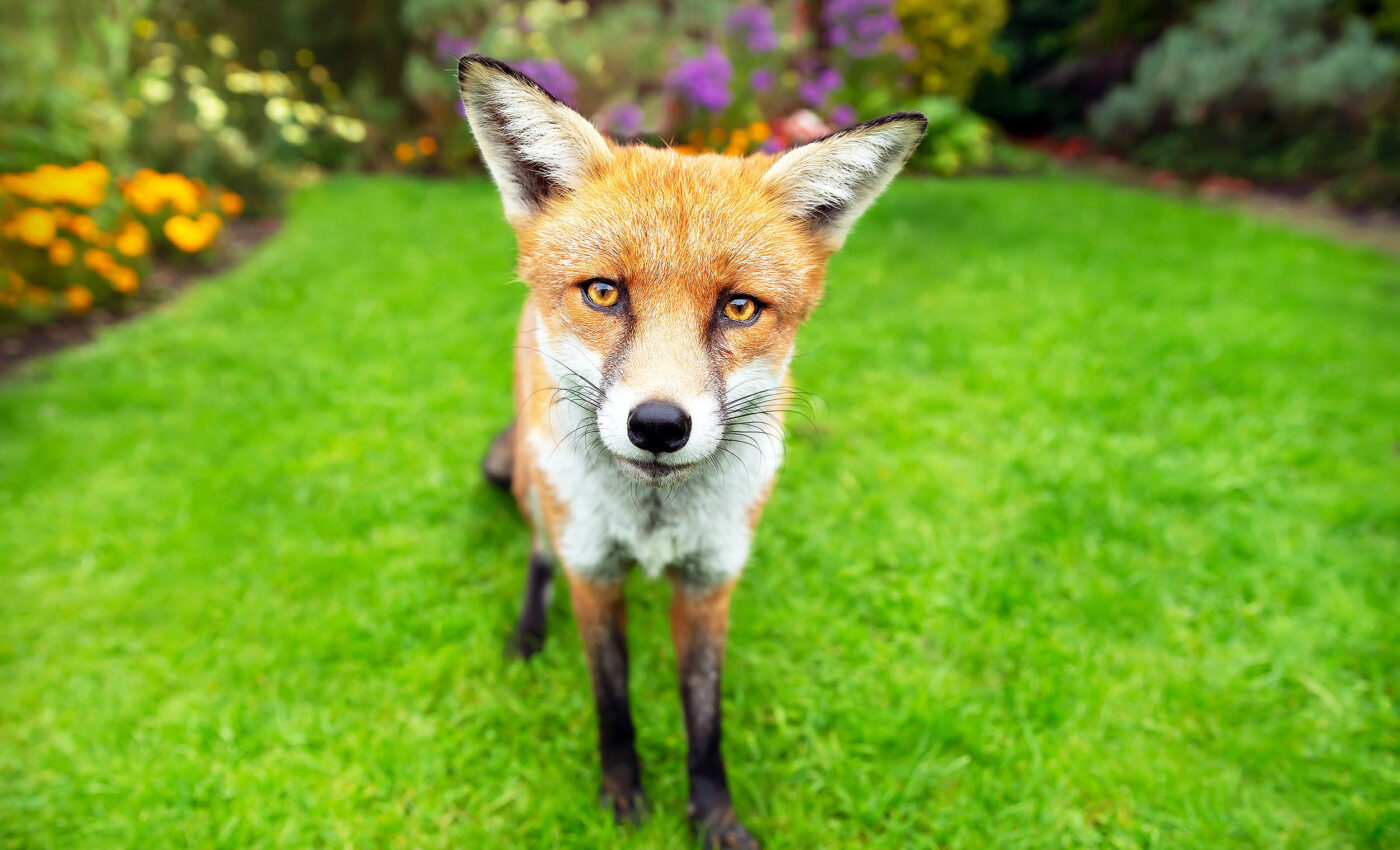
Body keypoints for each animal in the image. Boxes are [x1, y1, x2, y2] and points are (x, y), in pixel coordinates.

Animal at [458, 54, 926, 849]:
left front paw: (714, 817)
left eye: (738, 308)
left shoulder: (711, 581)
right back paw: (527, 632)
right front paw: (622, 796)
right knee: (538, 551)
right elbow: (613, 703)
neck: (653, 521)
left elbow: (705, 720)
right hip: (535, 486)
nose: (656, 425)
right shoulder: (594, 573)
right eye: (604, 293)